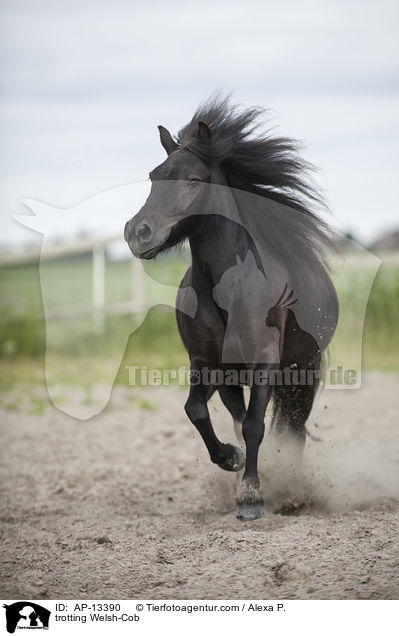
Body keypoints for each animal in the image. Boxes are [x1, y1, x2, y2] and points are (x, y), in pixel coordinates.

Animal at [124, 95, 338, 520]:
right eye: (154, 176)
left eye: (193, 180)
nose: (137, 233)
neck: (229, 290)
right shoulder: (207, 362)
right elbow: (197, 412)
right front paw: (232, 459)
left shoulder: (265, 361)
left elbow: (257, 425)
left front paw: (252, 497)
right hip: (235, 380)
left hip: (303, 373)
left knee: (294, 430)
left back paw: (292, 493)